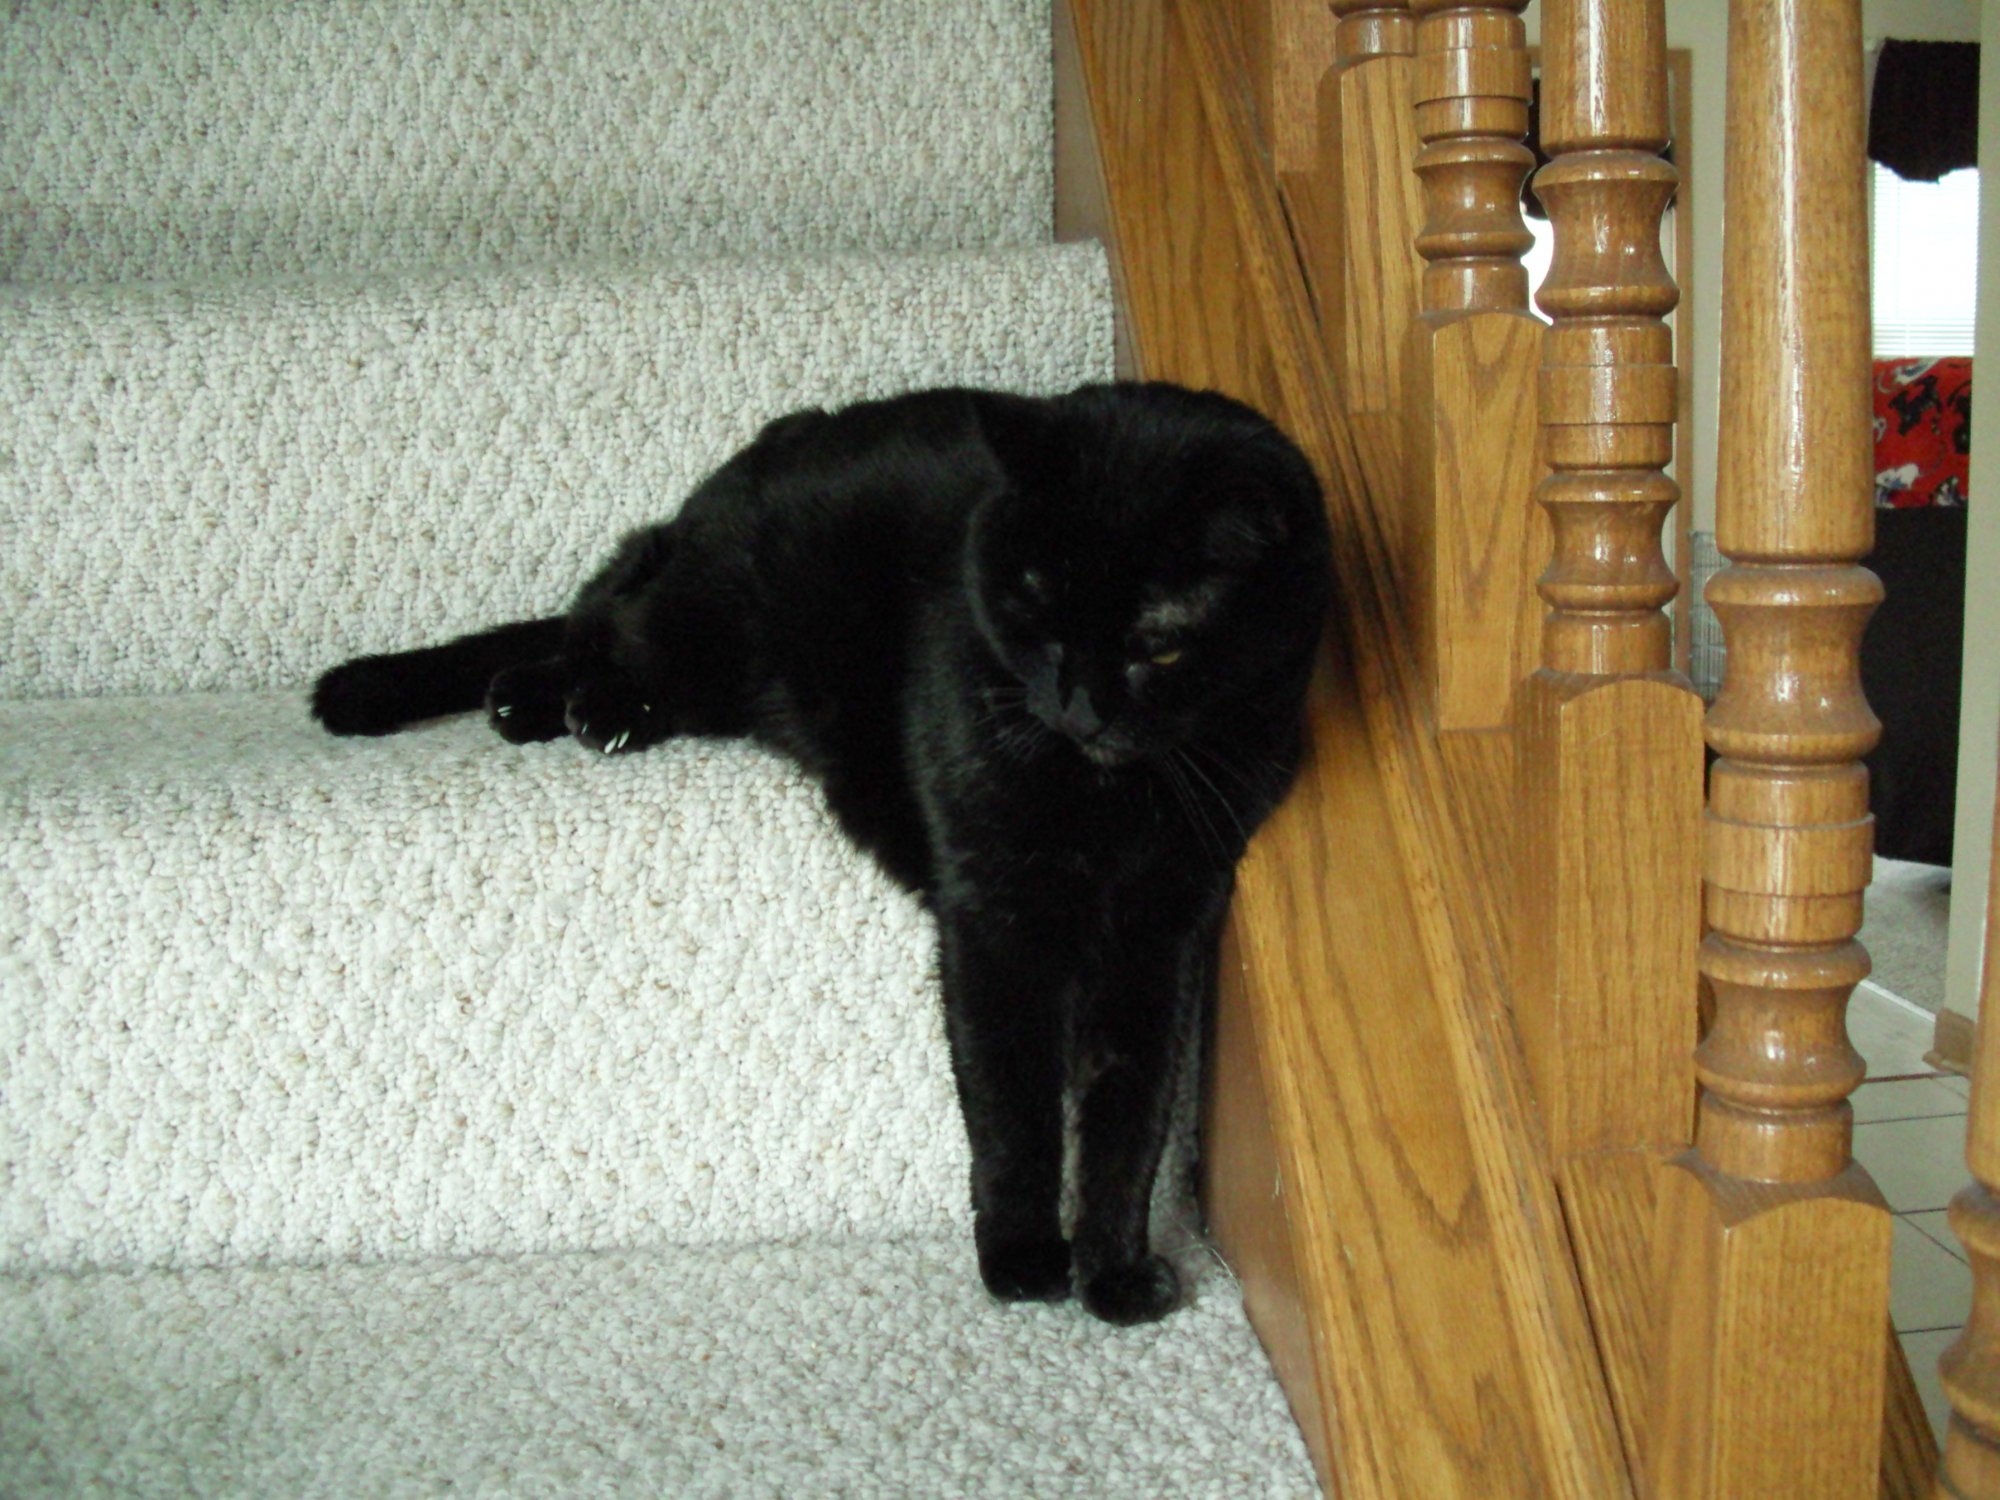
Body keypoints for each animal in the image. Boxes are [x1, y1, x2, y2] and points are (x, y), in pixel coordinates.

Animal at [312, 378, 1328, 1328]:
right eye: (1035, 606)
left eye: (1159, 646)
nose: (1075, 706)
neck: (1111, 800)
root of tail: (742, 468)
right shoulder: (992, 920)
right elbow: (1014, 1105)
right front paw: (1023, 1258)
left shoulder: (1166, 929)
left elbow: (1133, 1114)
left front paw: (1114, 1272)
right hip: (704, 624)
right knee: (605, 621)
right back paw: (553, 702)